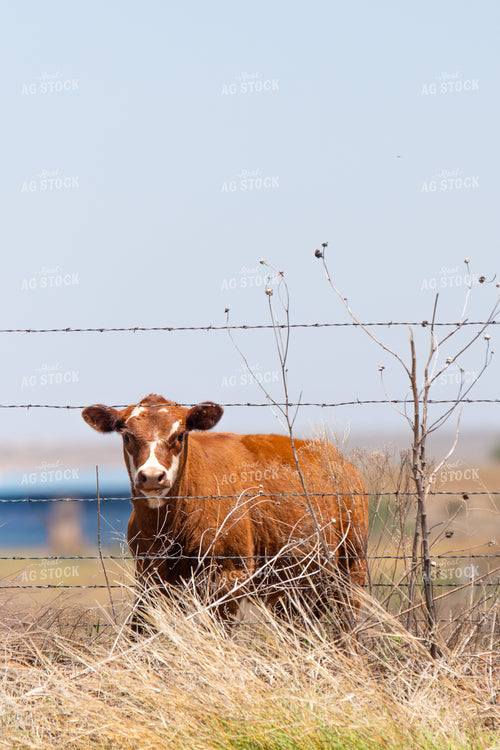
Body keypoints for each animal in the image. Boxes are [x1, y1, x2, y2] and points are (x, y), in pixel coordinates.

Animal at [82, 394, 368, 631]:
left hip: (351, 569)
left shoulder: (229, 577)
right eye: (127, 436)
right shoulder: (148, 576)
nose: (152, 476)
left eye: (180, 435)